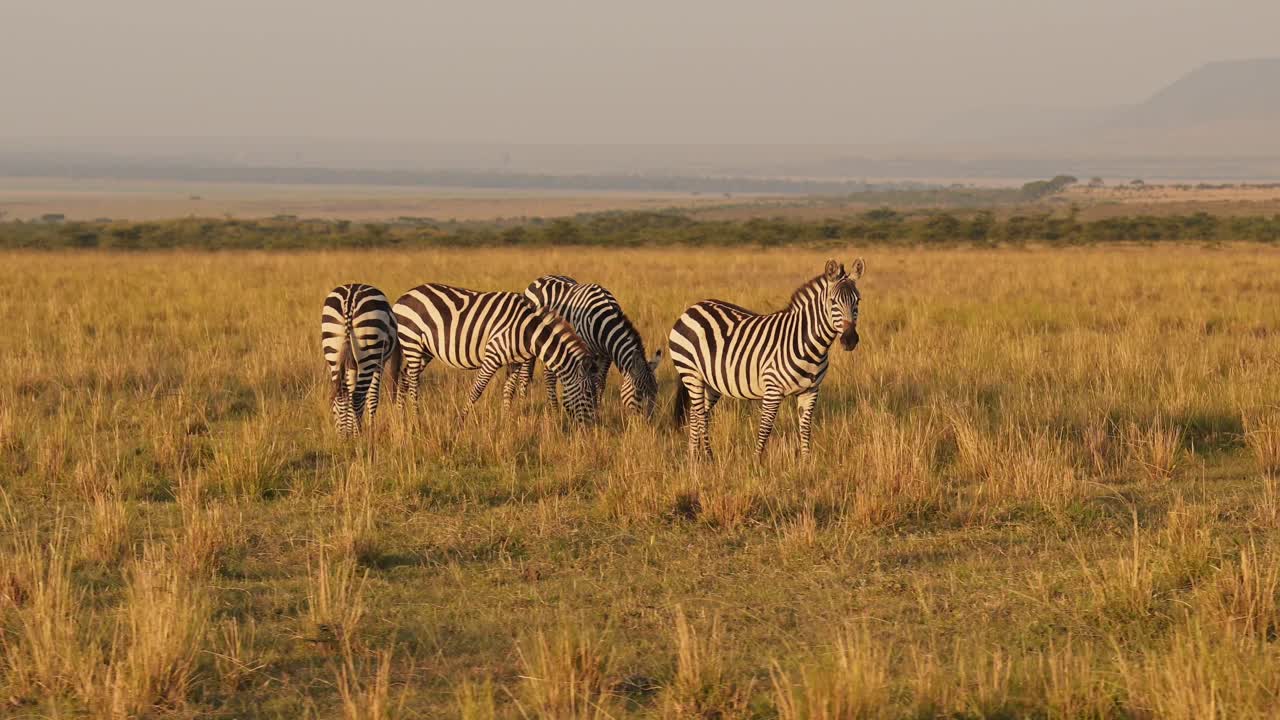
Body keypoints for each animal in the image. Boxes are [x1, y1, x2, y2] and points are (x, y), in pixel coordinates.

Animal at [321, 284, 399, 436]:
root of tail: (350, 299)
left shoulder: (351, 365)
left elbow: (350, 390)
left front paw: (349, 429)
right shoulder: (379, 363)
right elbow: (373, 397)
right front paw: (370, 430)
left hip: (333, 350)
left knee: (341, 395)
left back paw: (343, 436)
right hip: (369, 352)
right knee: (358, 396)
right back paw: (359, 435)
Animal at [391, 283, 599, 424]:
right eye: (589, 393)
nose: (591, 426)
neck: (527, 332)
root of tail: (403, 296)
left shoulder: (515, 361)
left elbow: (509, 391)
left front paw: (507, 422)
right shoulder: (493, 355)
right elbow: (476, 390)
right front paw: (460, 421)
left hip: (425, 350)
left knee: (404, 375)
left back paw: (401, 415)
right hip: (412, 343)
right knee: (413, 381)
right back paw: (416, 417)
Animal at [505, 275, 661, 417]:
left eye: (656, 391)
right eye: (639, 393)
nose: (647, 422)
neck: (602, 322)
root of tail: (539, 279)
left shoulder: (606, 355)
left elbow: (600, 382)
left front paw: (598, 409)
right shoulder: (587, 351)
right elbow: (591, 380)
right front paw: (592, 408)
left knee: (549, 376)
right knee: (525, 376)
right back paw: (526, 405)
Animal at [667, 259, 865, 458]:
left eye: (858, 301)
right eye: (833, 302)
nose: (850, 340)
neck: (809, 344)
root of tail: (693, 307)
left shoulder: (810, 390)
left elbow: (806, 427)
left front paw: (806, 460)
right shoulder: (773, 389)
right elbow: (766, 427)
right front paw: (756, 461)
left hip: (711, 381)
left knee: (695, 413)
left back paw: (694, 457)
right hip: (691, 372)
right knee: (700, 415)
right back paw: (709, 456)